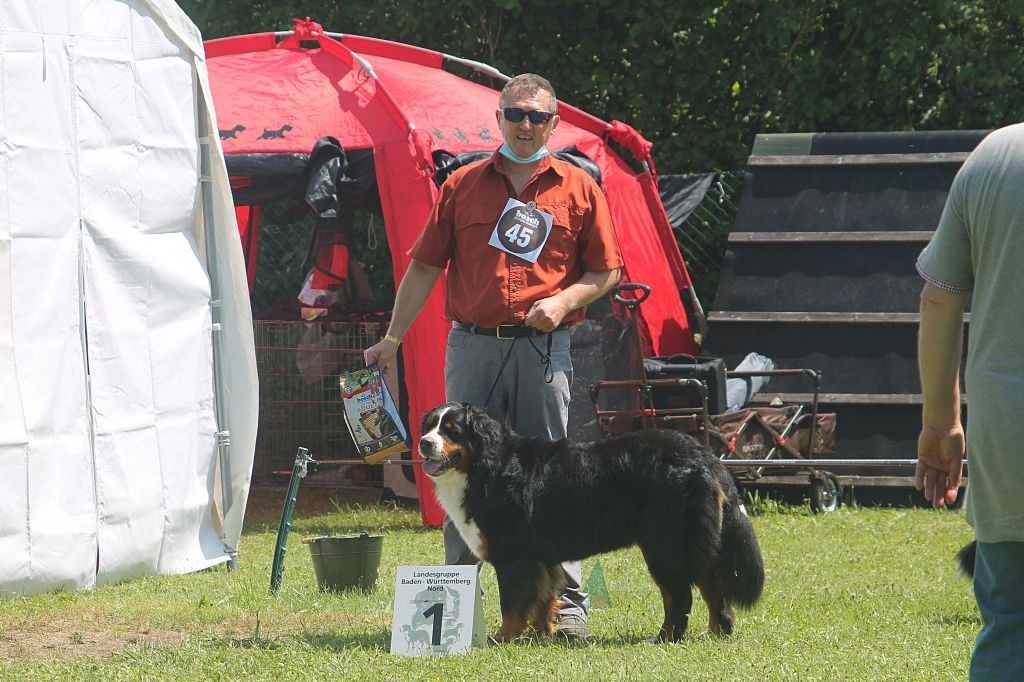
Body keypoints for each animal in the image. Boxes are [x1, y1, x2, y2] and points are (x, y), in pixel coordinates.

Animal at [419, 401, 765, 638]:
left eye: (451, 430)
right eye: (429, 425)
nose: (424, 442)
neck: (487, 466)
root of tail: (703, 453)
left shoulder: (514, 558)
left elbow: (514, 606)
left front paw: (503, 638)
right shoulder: (541, 560)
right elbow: (543, 600)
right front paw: (540, 636)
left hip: (666, 545)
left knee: (680, 596)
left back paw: (665, 638)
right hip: (694, 543)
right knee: (713, 587)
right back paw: (717, 632)